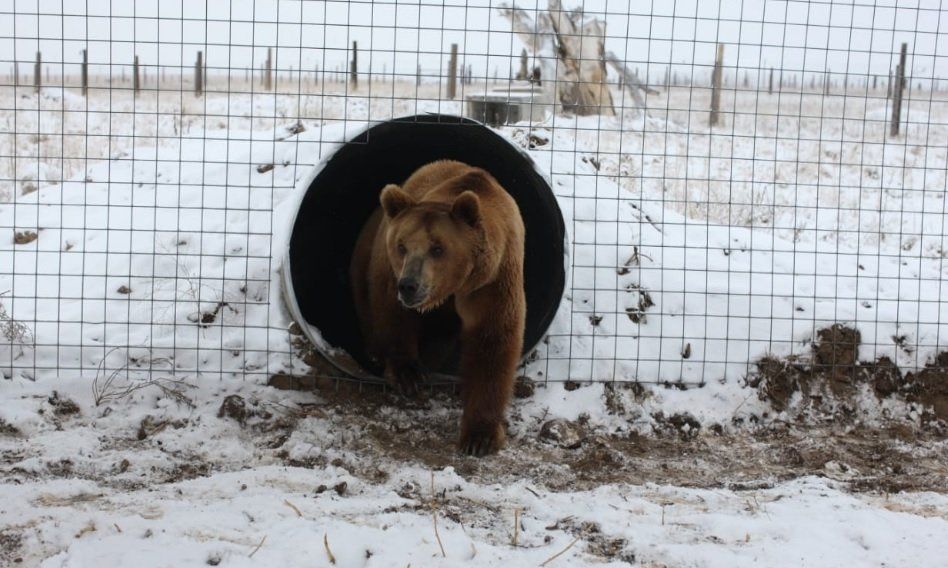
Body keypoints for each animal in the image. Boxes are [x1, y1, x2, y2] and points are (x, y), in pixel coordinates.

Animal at [350, 160, 524, 458]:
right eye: (402, 246)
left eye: (438, 249)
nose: (409, 285)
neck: (457, 285)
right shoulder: (389, 272)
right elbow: (393, 316)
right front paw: (408, 374)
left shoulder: (493, 283)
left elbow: (492, 342)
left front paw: (480, 437)